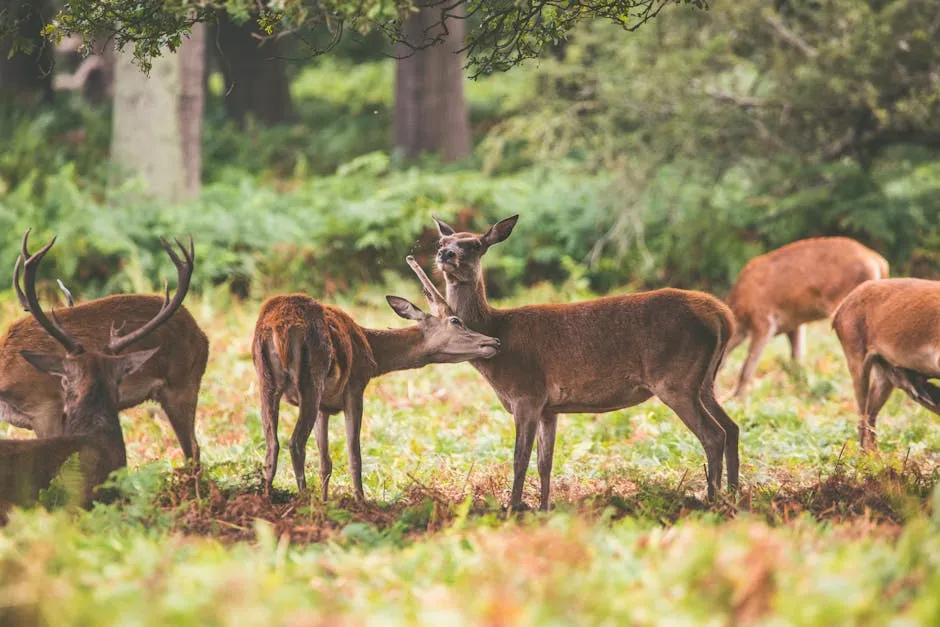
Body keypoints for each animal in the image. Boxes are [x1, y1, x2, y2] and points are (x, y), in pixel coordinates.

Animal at [250, 254, 500, 500]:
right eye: (456, 321)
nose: (493, 342)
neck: (372, 352)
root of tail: (278, 328)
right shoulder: (355, 386)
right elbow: (355, 455)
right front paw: (360, 501)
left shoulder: (325, 406)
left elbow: (325, 463)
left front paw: (325, 502)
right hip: (311, 378)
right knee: (296, 443)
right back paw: (302, 500)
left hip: (266, 380)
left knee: (272, 445)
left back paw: (267, 498)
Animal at [430, 215, 740, 510]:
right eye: (441, 241)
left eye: (475, 245)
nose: (445, 254)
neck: (497, 336)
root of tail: (722, 315)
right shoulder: (549, 407)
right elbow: (545, 462)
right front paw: (544, 508)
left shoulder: (527, 394)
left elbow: (520, 459)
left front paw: (513, 508)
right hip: (705, 381)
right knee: (732, 428)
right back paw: (735, 495)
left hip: (675, 380)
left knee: (714, 434)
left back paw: (713, 500)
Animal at [724, 238, 884, 400]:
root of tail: (878, 261)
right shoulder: (793, 324)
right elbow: (797, 361)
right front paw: (799, 392)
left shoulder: (764, 319)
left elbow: (748, 366)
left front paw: (737, 398)